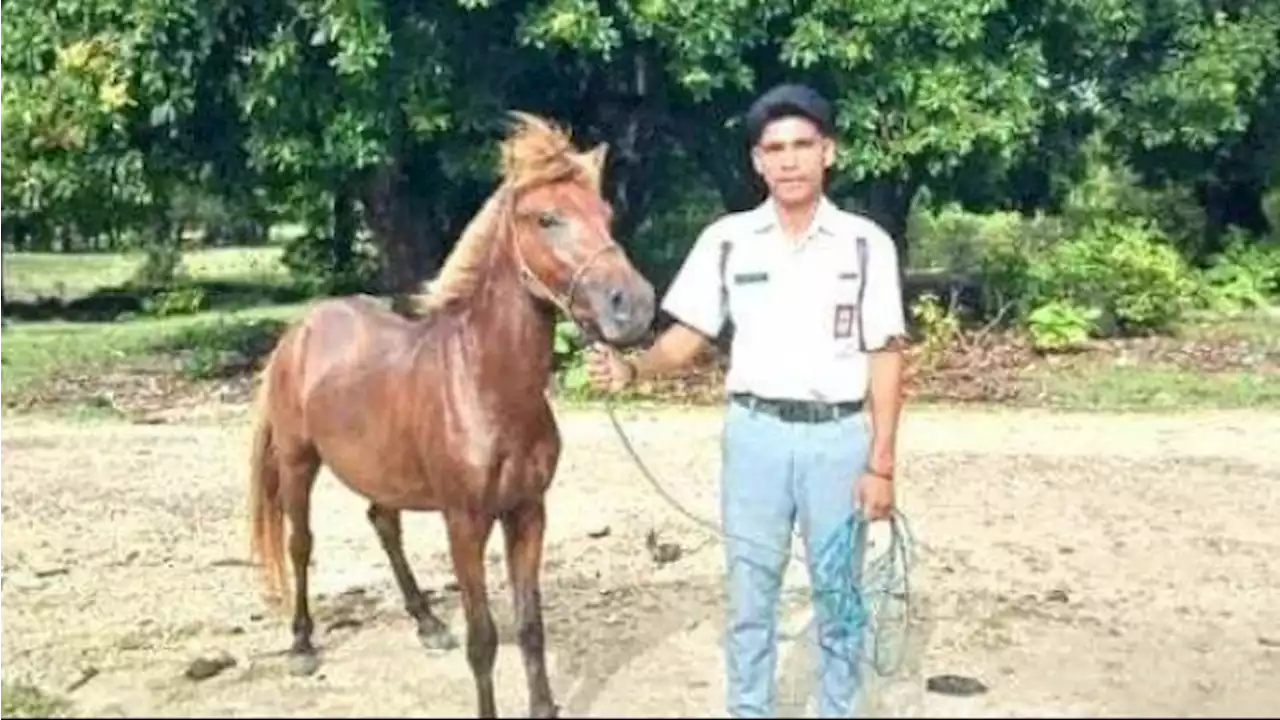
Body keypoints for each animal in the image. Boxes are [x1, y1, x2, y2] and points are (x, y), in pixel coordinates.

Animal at [243, 109, 655, 712]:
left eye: (605, 215)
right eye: (546, 218)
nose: (636, 307)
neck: (486, 389)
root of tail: (301, 331)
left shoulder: (528, 512)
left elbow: (530, 625)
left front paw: (543, 705)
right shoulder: (464, 523)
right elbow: (483, 639)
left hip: (381, 471)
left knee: (383, 524)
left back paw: (427, 622)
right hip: (299, 463)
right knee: (301, 546)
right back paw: (301, 644)